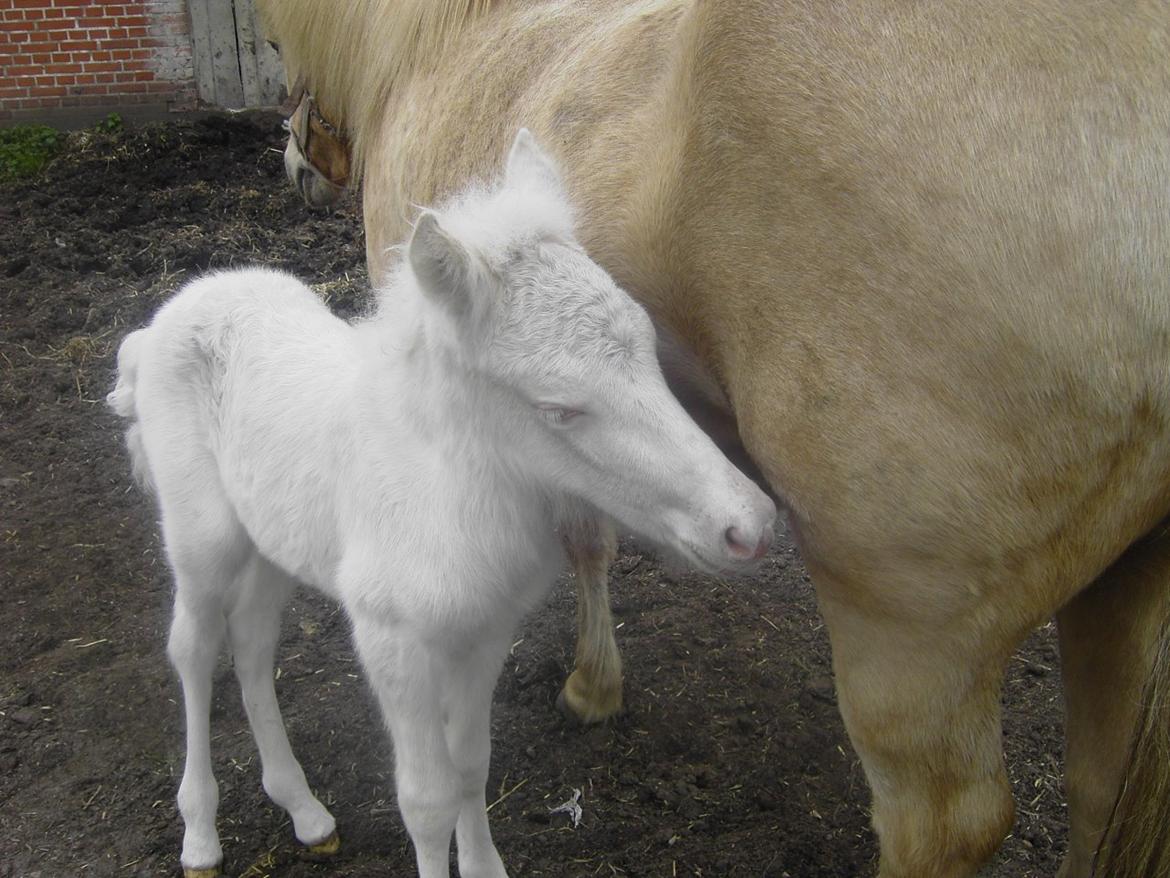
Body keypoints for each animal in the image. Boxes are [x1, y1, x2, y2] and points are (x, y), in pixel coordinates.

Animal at [109, 130, 776, 878]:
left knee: (252, 643)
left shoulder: (483, 631)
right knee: (194, 648)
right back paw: (200, 832)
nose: (748, 526)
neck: (445, 487)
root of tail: (165, 319)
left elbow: (470, 766)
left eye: (648, 349)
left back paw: (305, 810)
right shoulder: (392, 640)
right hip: (202, 536)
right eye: (559, 407)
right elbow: (426, 800)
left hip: (271, 539)